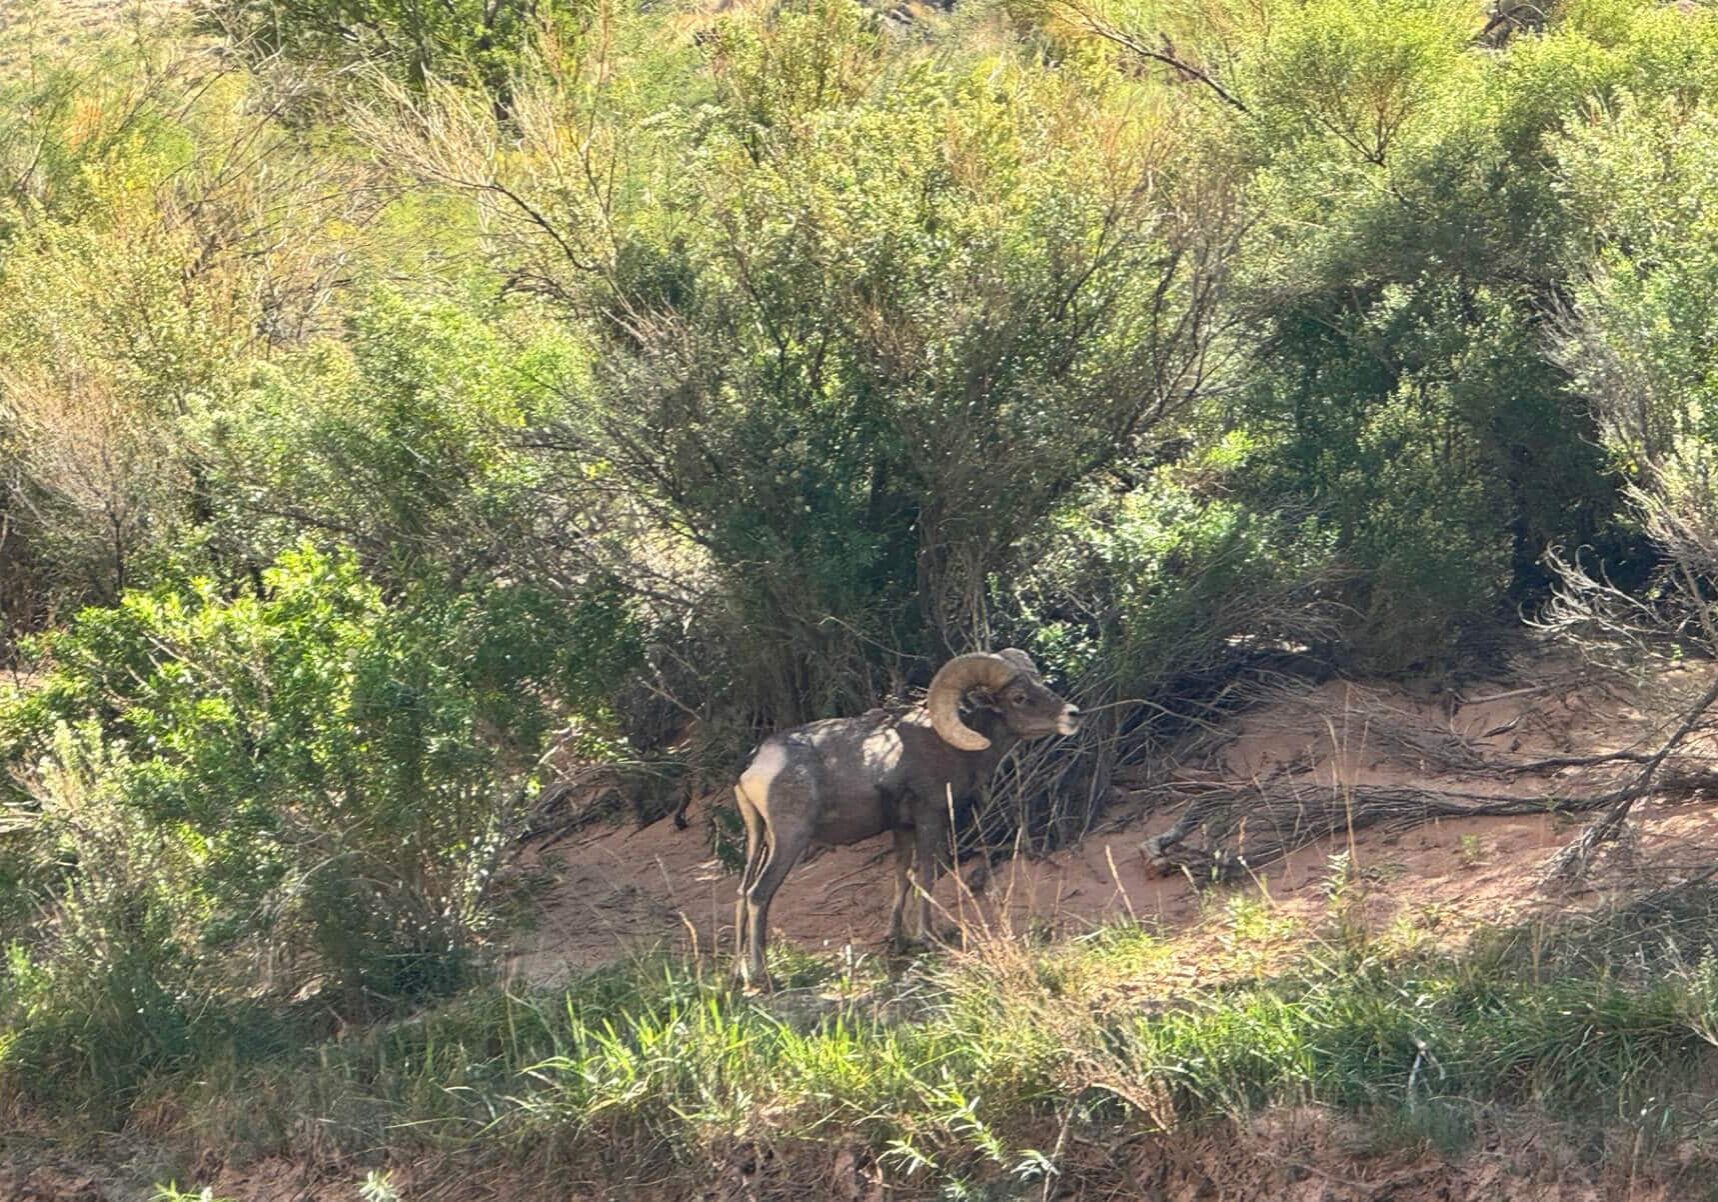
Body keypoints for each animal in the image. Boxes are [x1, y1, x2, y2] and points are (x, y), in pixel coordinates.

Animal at [730, 649, 1080, 989]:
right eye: (1019, 697)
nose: (1072, 714)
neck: (949, 748)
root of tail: (755, 765)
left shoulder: (902, 829)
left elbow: (901, 877)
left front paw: (896, 938)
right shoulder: (929, 817)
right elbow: (925, 875)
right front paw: (927, 937)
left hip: (760, 839)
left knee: (742, 892)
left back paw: (738, 973)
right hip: (790, 840)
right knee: (758, 894)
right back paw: (762, 976)